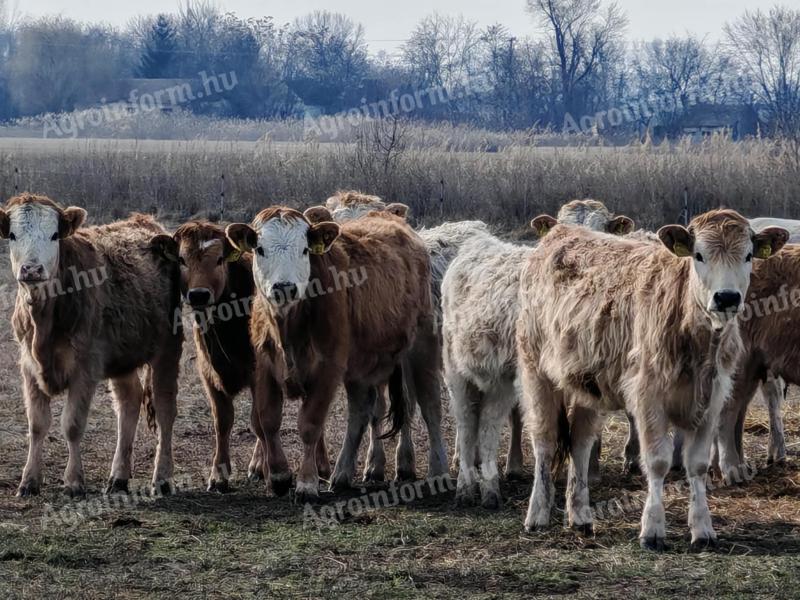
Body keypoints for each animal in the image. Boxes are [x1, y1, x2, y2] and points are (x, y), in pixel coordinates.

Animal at [0, 196, 183, 496]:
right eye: (13, 235)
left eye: (54, 235)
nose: (32, 269)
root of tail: (146, 222)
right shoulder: (28, 366)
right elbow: (37, 425)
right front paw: (29, 481)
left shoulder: (85, 367)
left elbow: (72, 425)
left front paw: (74, 481)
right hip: (123, 358)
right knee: (129, 402)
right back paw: (118, 477)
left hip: (168, 347)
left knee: (165, 410)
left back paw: (163, 479)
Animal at [225, 206, 434, 496]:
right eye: (260, 249)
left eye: (304, 249)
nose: (284, 287)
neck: (288, 328)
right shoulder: (264, 366)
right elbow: (267, 420)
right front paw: (278, 476)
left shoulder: (328, 369)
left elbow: (310, 424)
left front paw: (306, 482)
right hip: (362, 367)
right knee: (361, 412)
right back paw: (345, 473)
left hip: (412, 352)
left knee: (411, 404)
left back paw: (409, 464)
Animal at [520, 210, 788, 548]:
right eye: (699, 255)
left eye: (749, 255)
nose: (727, 297)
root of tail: (560, 232)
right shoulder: (649, 397)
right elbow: (658, 460)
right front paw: (652, 529)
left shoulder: (712, 399)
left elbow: (697, 464)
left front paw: (703, 529)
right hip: (536, 372)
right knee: (545, 442)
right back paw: (537, 515)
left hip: (584, 384)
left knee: (580, 443)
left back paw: (580, 516)